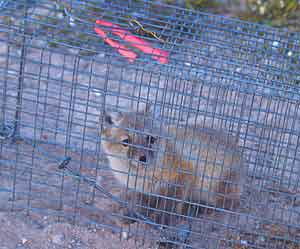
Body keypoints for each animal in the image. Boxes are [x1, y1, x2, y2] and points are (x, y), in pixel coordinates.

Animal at [99, 108, 245, 225]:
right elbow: (140, 204)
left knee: (228, 204)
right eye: (126, 142)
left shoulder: (184, 176)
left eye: (151, 139)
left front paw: (162, 220)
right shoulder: (142, 190)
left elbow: (170, 206)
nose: (143, 158)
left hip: (212, 186)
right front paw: (132, 215)